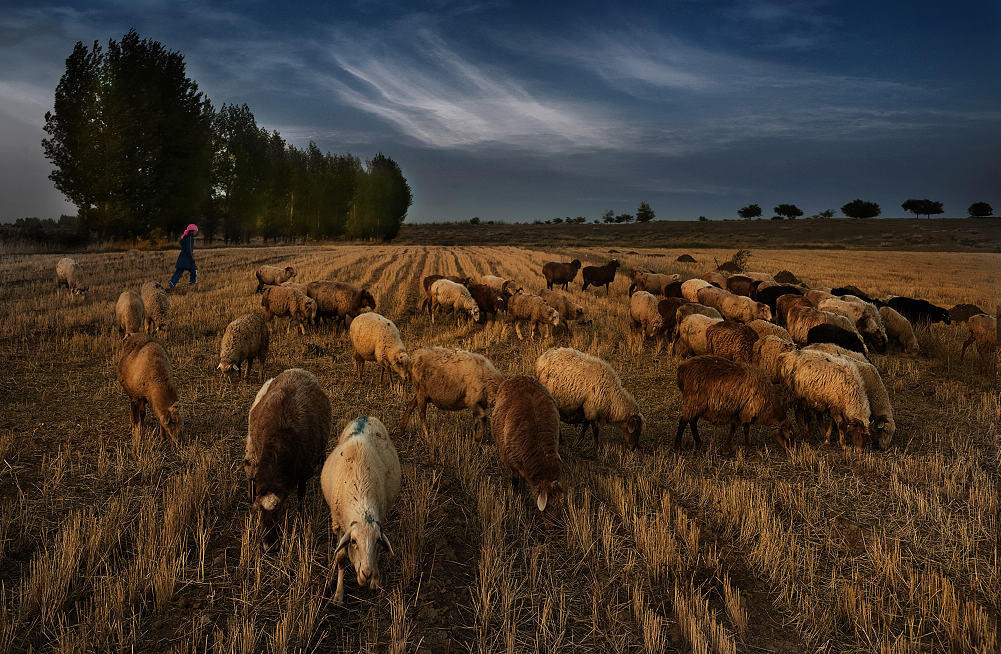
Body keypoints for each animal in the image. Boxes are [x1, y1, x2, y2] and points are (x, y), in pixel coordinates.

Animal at [320, 416, 398, 604]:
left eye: (377, 541)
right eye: (354, 541)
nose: (366, 574)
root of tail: (366, 416)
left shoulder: (380, 518)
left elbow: (378, 553)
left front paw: (375, 582)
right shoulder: (338, 524)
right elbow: (341, 557)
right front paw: (338, 594)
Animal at [490, 374, 564, 512]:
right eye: (548, 508)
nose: (557, 520)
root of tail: (520, 376)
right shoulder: (511, 461)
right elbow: (515, 480)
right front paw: (516, 494)